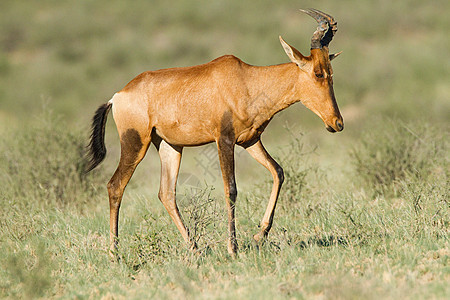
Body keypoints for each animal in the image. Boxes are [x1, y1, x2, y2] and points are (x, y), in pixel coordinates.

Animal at [86, 8, 342, 258]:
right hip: (135, 142)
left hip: (170, 146)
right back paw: (115, 254)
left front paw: (259, 236)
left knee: (166, 193)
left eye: (331, 72)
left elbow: (278, 172)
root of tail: (118, 96)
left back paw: (195, 249)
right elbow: (231, 190)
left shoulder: (250, 141)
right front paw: (233, 248)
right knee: (115, 186)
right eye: (318, 73)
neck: (247, 80)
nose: (337, 123)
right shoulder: (224, 140)